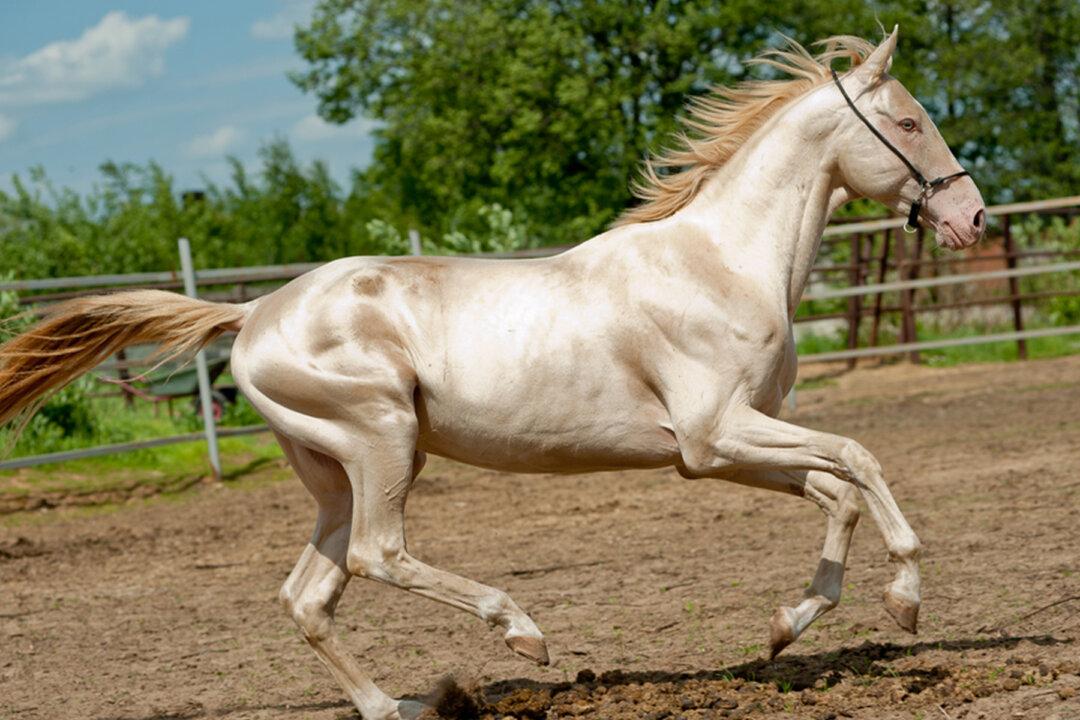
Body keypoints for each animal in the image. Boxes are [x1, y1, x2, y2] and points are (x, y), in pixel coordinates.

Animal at [0, 27, 985, 720]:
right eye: (909, 122)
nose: (971, 217)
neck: (720, 262)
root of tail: (254, 315)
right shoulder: (716, 435)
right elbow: (859, 459)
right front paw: (905, 599)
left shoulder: (716, 451)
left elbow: (838, 492)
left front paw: (786, 629)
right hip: (383, 443)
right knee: (379, 556)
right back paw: (523, 635)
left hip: (334, 475)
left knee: (310, 595)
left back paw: (395, 704)